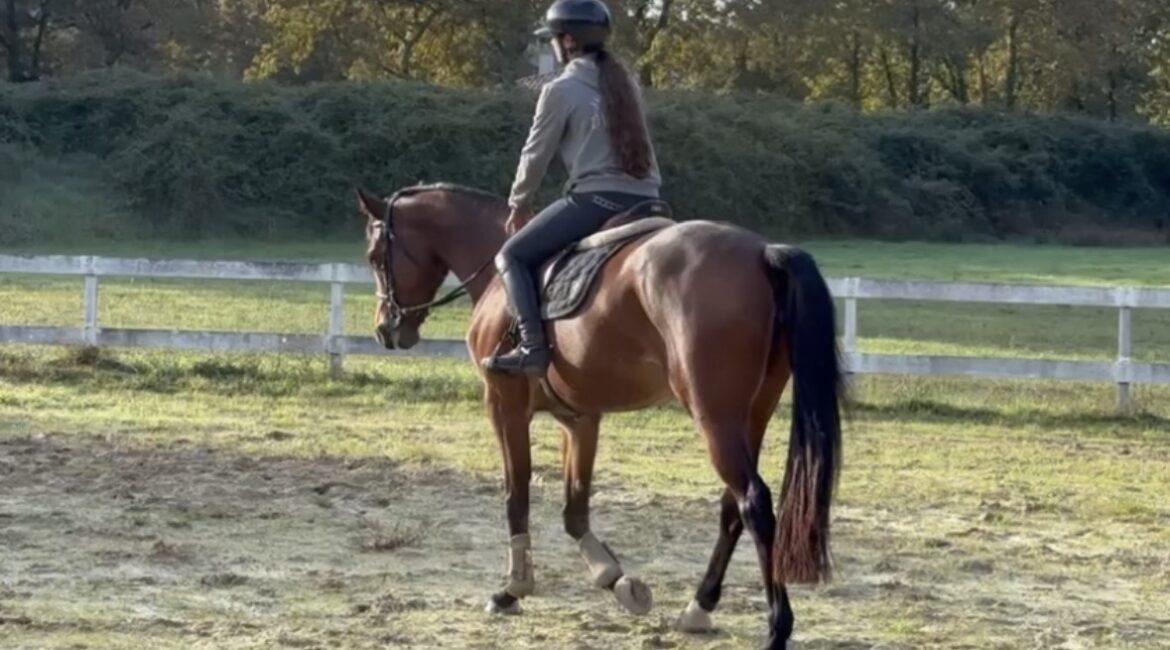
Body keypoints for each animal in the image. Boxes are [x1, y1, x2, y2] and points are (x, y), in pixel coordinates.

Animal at [356, 182, 842, 649]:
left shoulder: (503, 405)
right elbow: (575, 509)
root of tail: (762, 252)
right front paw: (616, 581)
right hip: (751, 415)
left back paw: (777, 627)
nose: (385, 328)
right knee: (733, 506)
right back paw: (699, 606)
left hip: (715, 418)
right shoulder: (580, 419)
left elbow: (517, 494)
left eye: (375, 256)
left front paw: (513, 589)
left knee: (754, 502)